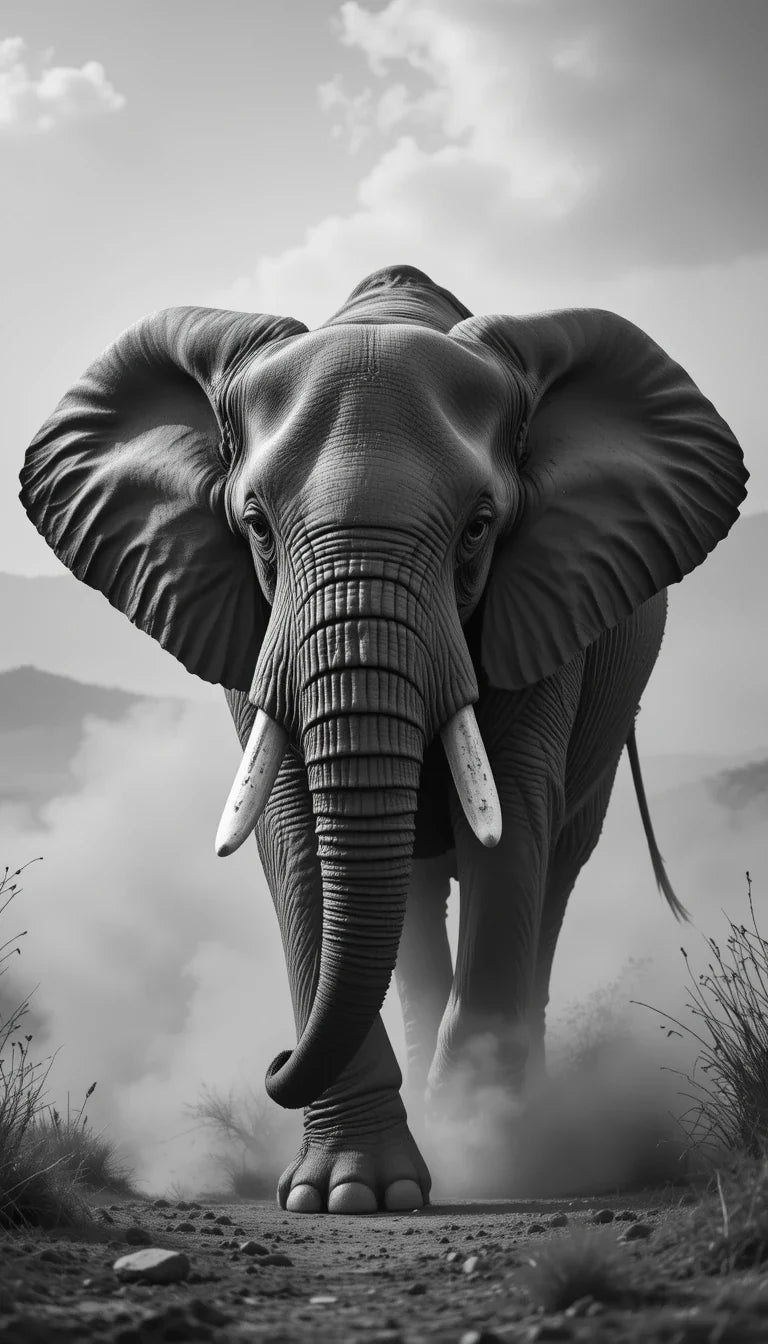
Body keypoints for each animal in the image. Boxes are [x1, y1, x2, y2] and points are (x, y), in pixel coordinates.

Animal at [20, 264, 747, 1214]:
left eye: (479, 527)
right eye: (255, 526)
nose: (274, 1063)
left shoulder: (544, 596)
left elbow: (511, 821)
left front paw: (491, 1159)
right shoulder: (247, 620)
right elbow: (293, 833)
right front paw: (353, 1194)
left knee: (554, 864)